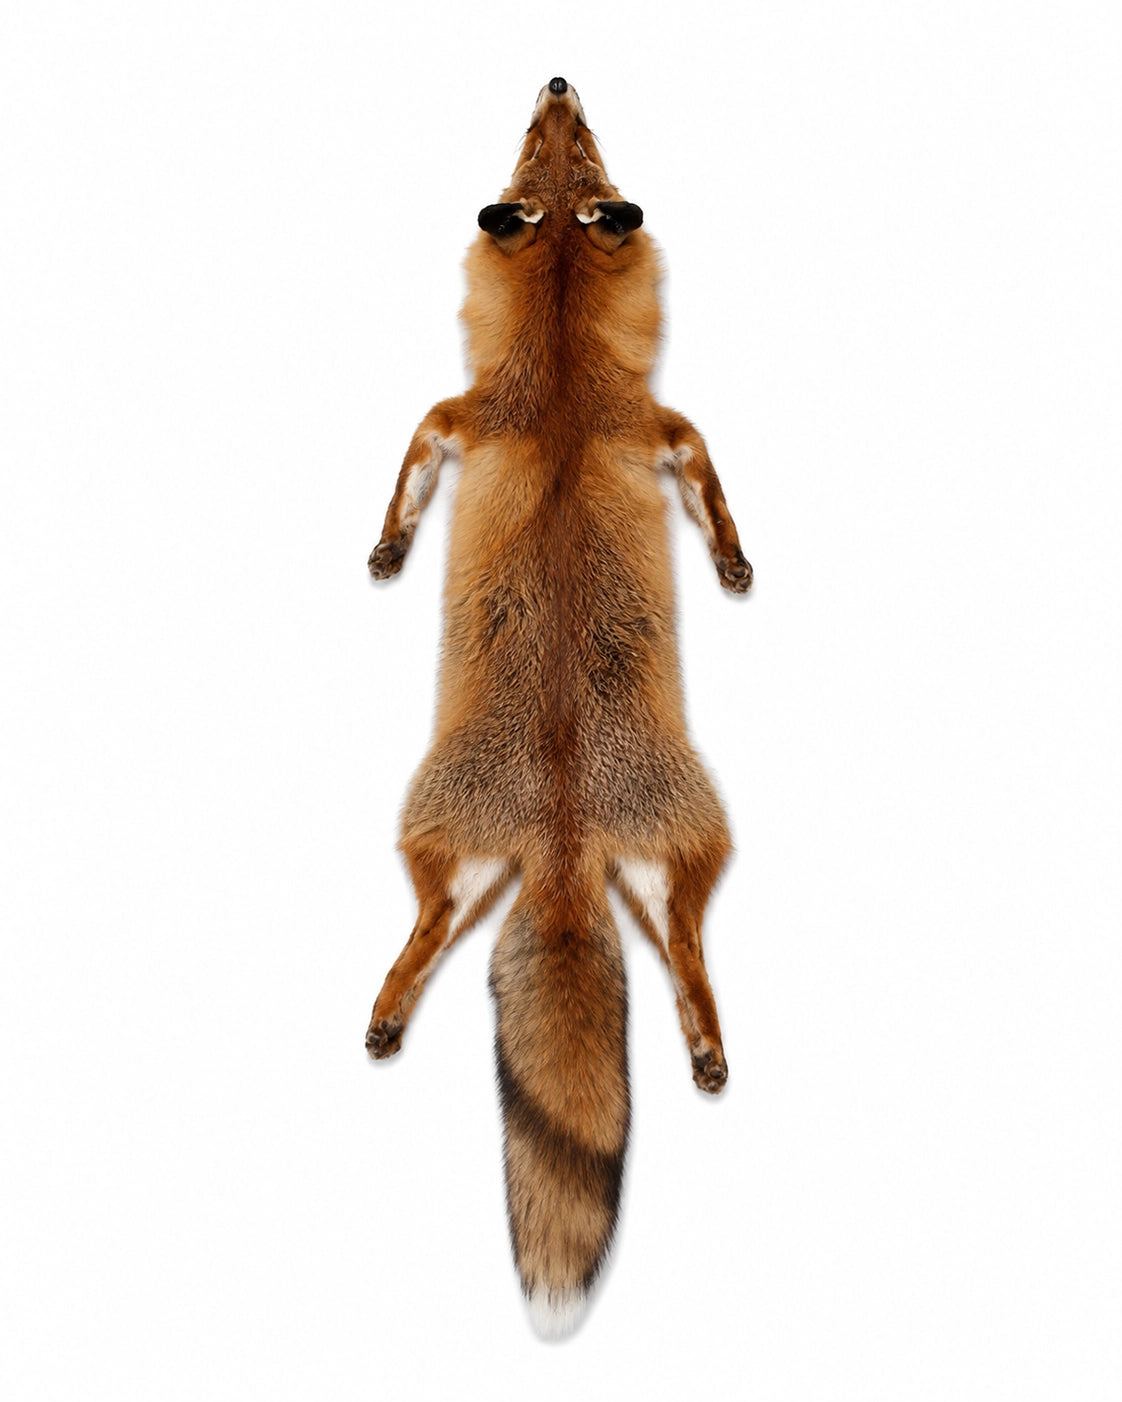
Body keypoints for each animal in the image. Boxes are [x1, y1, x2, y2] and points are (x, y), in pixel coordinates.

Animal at [365, 77, 752, 1337]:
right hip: (471, 846)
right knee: (460, 936)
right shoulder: (589, 419)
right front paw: (388, 550)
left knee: (677, 952)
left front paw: (733, 562)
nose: (558, 79)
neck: (566, 357)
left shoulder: (578, 419)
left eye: (578, 152)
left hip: (621, 844)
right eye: (540, 151)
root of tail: (565, 835)